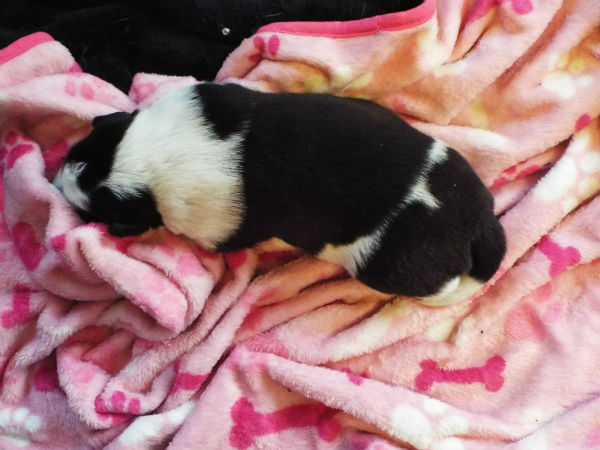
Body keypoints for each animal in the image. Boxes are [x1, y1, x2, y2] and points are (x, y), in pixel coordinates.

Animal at [53, 82, 506, 306]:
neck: (154, 153)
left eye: (98, 213)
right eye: (80, 149)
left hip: (388, 269)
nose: (58, 181)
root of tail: (479, 223)